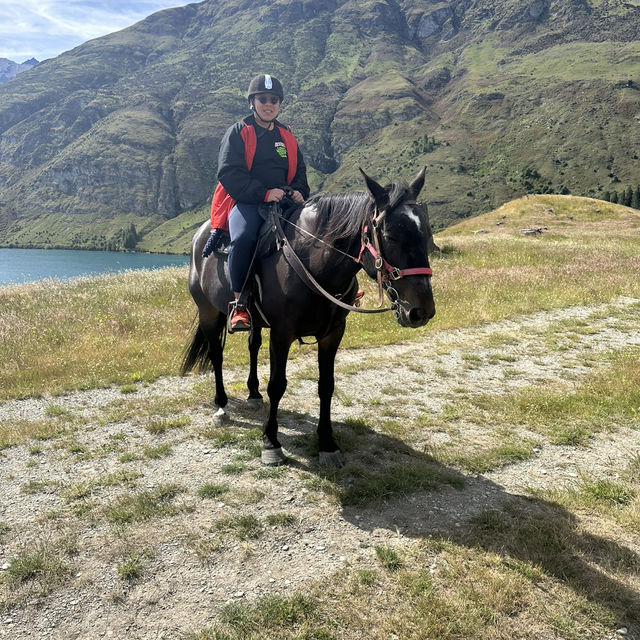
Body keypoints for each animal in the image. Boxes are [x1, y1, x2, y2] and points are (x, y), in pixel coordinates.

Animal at [182, 168, 438, 468]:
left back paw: (253, 394)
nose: (422, 311)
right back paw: (221, 406)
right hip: (208, 312)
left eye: (426, 233)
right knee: (216, 355)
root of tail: (200, 237)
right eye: (391, 235)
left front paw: (327, 443)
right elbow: (277, 386)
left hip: (254, 321)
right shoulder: (281, 334)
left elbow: (326, 386)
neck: (312, 261)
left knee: (252, 346)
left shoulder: (333, 333)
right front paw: (271, 442)